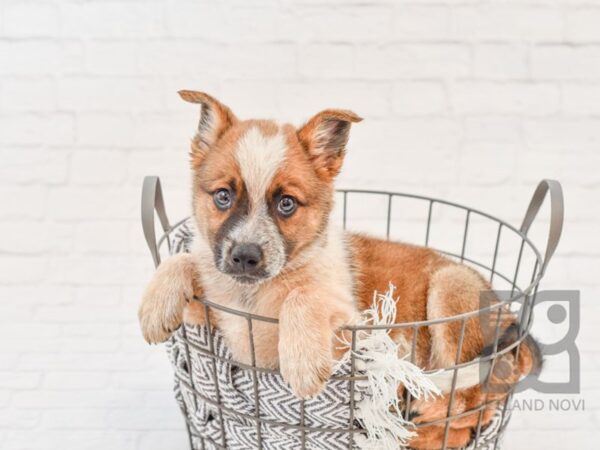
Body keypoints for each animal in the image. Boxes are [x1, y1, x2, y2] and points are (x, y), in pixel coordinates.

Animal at [138, 89, 540, 448]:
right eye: (223, 196)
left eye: (286, 204)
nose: (246, 257)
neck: (255, 294)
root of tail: (512, 320)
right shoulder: (224, 325)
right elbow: (186, 259)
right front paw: (157, 302)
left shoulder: (352, 329)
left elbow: (305, 294)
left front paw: (303, 362)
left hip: (451, 289)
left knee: (471, 403)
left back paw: (420, 426)